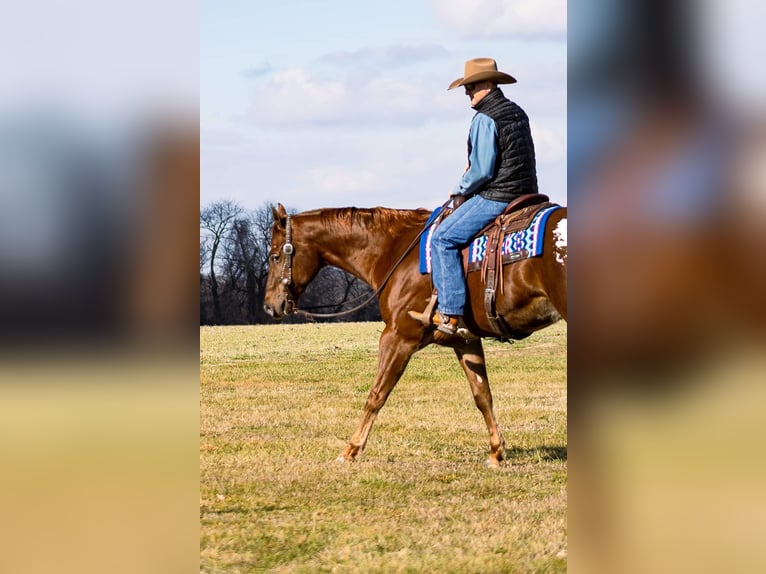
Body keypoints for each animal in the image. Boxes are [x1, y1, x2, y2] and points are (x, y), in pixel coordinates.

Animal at [264, 202, 568, 468]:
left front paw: (350, 450)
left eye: (275, 256)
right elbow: (482, 395)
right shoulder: (466, 341)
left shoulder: (397, 337)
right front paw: (496, 453)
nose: (269, 305)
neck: (393, 252)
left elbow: (377, 394)